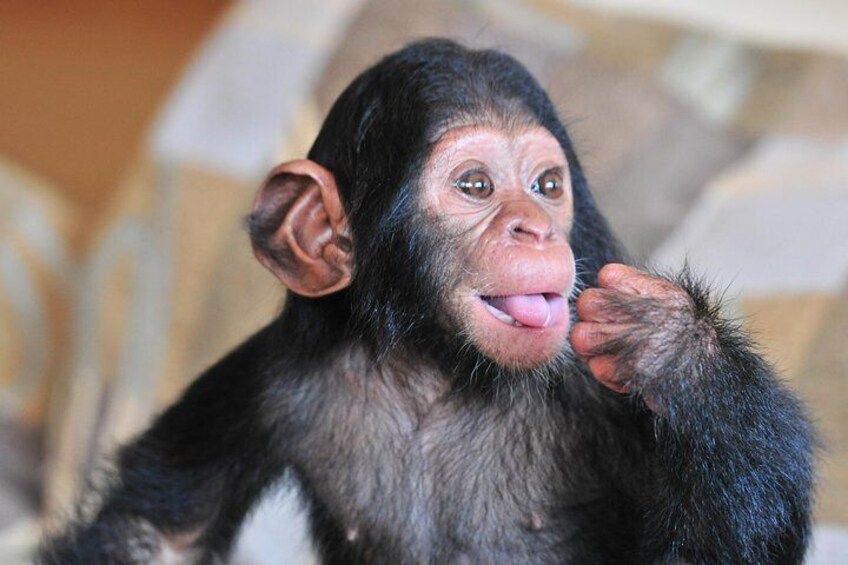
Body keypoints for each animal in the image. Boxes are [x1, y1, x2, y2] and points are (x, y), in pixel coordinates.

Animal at [38, 38, 815, 564]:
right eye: (475, 185)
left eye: (546, 186)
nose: (534, 227)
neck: (438, 370)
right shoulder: (266, 376)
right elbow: (160, 534)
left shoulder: (601, 396)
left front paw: (672, 348)